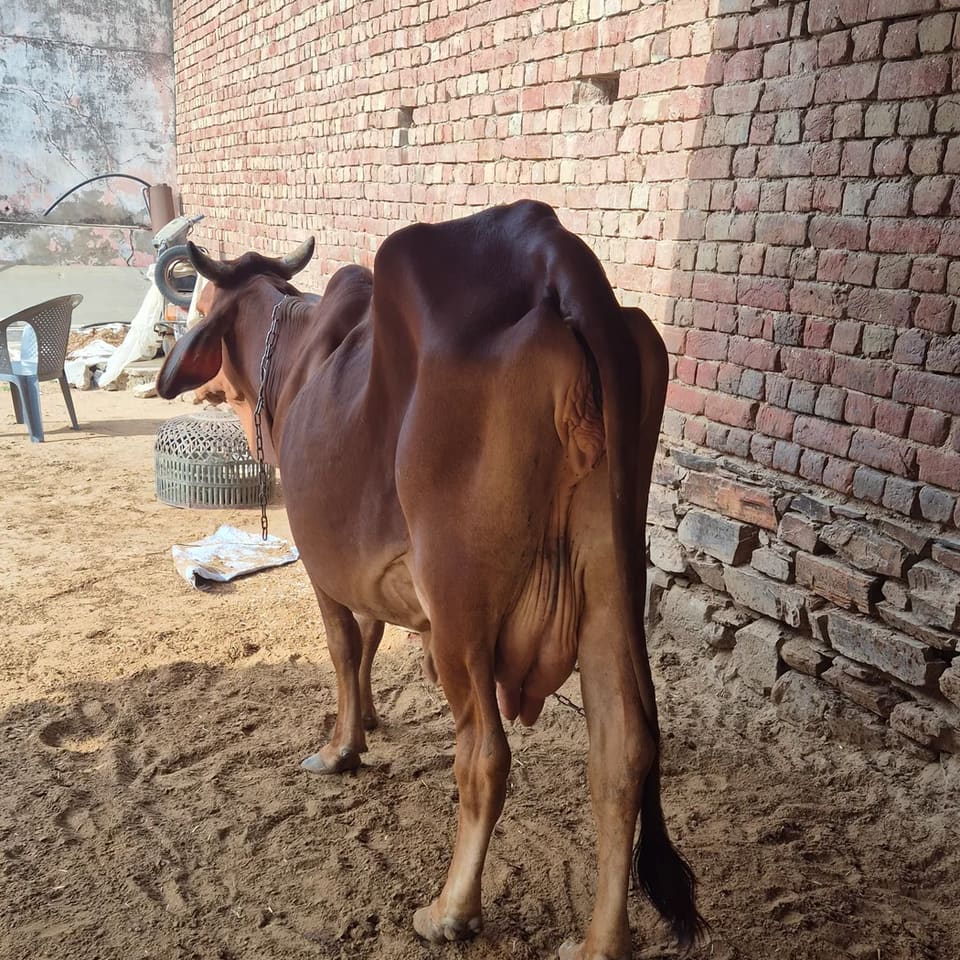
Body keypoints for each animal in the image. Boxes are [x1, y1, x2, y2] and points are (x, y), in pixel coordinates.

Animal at [156, 200, 704, 959]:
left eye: (200, 305)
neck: (295, 356)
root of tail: (552, 256)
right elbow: (373, 637)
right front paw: (370, 719)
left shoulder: (323, 563)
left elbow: (345, 647)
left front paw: (340, 748)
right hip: (608, 579)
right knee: (622, 752)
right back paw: (599, 941)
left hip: (460, 608)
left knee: (485, 757)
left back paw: (449, 909)